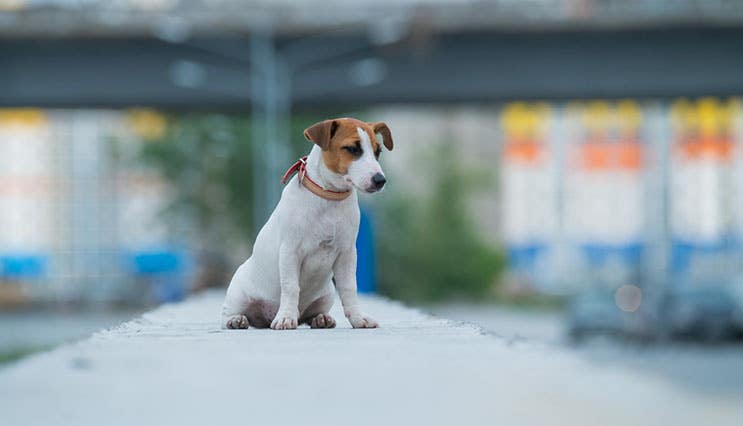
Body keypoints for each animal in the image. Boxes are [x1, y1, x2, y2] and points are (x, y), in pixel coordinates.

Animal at [222, 118, 392, 332]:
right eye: (352, 148)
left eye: (378, 151)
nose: (380, 180)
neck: (329, 196)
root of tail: (265, 318)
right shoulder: (290, 251)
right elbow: (291, 286)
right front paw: (286, 317)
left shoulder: (347, 253)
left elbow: (349, 288)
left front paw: (358, 318)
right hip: (238, 296)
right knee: (229, 315)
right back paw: (237, 320)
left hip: (326, 294)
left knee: (310, 314)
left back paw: (321, 318)